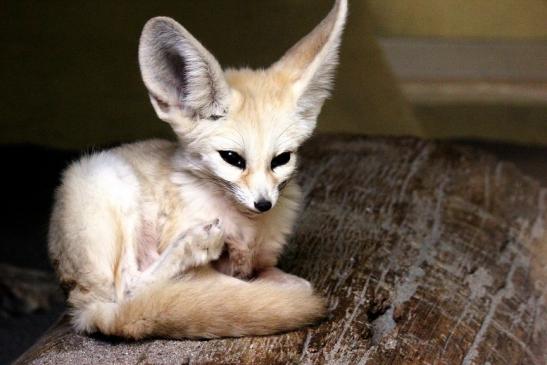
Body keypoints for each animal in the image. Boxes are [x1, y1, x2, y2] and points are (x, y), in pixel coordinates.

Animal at [50, 0, 346, 338]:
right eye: (232, 158)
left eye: (281, 159)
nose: (263, 204)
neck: (246, 230)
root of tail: (82, 309)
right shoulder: (208, 270)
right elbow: (231, 291)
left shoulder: (262, 263)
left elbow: (290, 283)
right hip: (107, 178)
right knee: (128, 288)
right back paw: (194, 244)